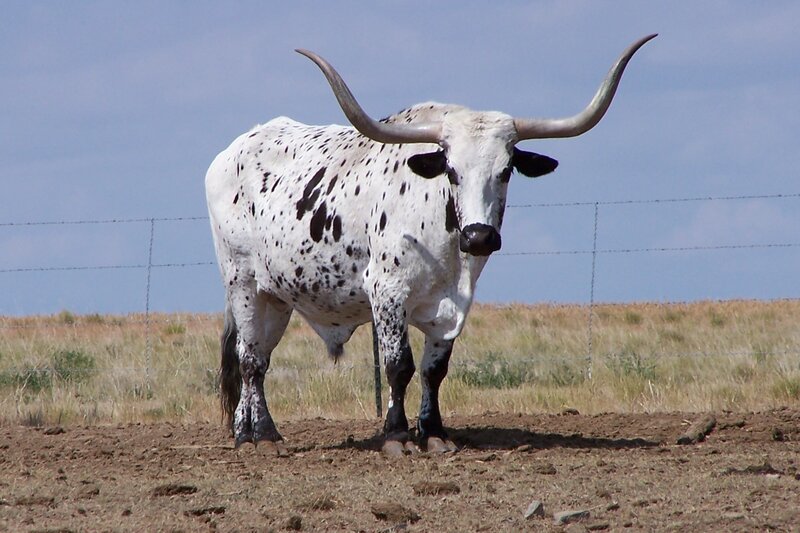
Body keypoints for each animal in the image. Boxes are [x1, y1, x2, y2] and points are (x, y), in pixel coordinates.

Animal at [206, 35, 656, 455]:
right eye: (451, 171)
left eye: (507, 170)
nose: (479, 236)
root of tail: (231, 152)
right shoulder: (386, 292)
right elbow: (398, 366)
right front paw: (396, 436)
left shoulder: (455, 303)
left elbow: (433, 371)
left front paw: (435, 433)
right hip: (243, 283)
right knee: (251, 361)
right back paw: (262, 437)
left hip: (276, 297)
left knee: (255, 354)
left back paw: (246, 432)